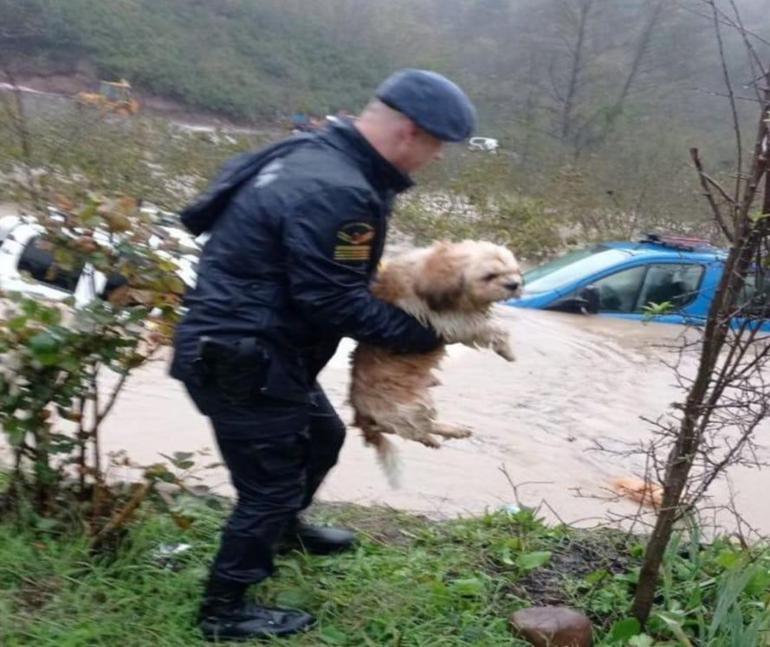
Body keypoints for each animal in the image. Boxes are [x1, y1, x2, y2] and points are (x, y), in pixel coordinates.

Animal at [350, 240, 520, 484]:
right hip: (411, 406)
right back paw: (436, 436)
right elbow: (490, 327)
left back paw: (453, 430)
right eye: (490, 276)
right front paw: (506, 349)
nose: (514, 284)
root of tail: (360, 414)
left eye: (513, 271)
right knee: (412, 429)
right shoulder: (449, 321)